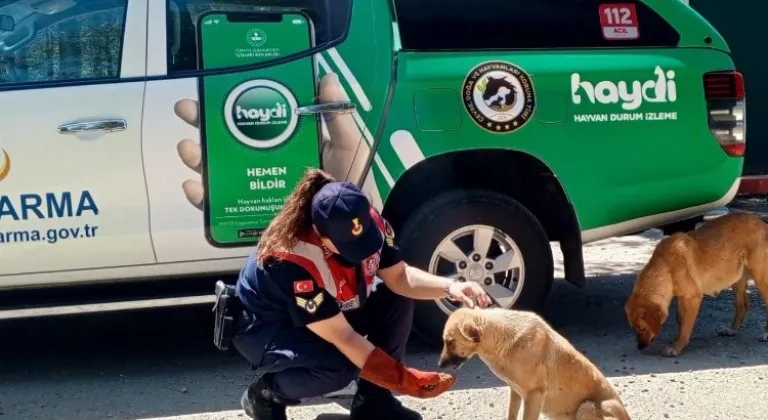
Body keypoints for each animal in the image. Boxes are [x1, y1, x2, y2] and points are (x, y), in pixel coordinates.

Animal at [438, 306, 632, 418]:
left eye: (450, 342)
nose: (439, 365)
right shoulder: (516, 392)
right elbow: (511, 415)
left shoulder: (534, 395)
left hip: (588, 407)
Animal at [624, 212, 768, 356]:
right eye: (634, 328)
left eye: (642, 328)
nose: (640, 347)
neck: (666, 266)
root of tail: (761, 221)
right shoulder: (682, 297)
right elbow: (680, 319)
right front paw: (678, 338)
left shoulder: (693, 298)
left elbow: (686, 324)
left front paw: (678, 346)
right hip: (736, 280)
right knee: (742, 305)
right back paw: (731, 330)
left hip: (761, 280)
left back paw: (765, 334)